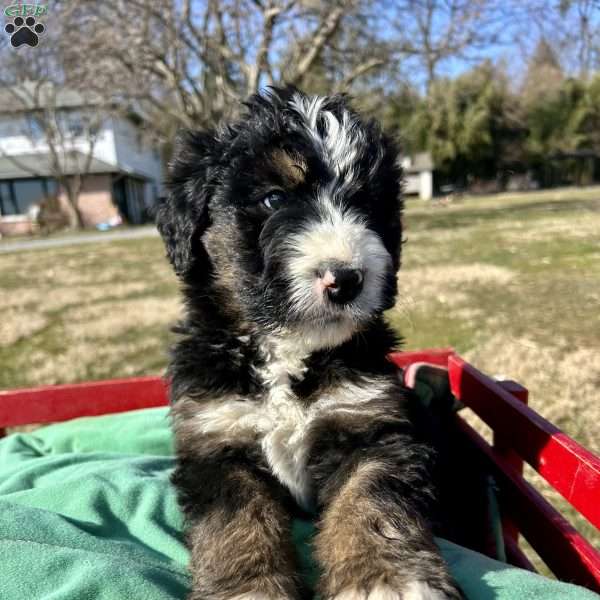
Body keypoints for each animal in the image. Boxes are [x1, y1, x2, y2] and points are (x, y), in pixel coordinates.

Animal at [157, 85, 462, 600]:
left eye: (366, 206)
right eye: (274, 198)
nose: (346, 279)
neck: (288, 351)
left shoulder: (369, 426)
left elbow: (371, 502)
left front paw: (386, 578)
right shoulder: (216, 441)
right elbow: (236, 522)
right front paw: (247, 588)